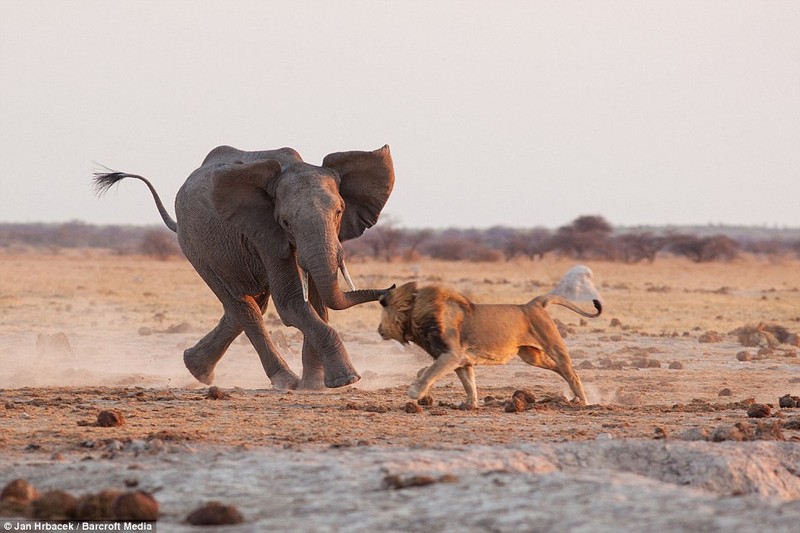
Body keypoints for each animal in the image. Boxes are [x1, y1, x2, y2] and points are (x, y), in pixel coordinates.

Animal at [95, 143, 396, 388]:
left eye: (339, 212)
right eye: (285, 222)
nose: (390, 288)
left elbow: (317, 303)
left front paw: (316, 386)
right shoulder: (264, 233)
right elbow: (291, 304)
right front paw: (346, 380)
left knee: (248, 305)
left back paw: (197, 369)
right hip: (196, 248)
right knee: (244, 307)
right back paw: (284, 381)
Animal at [380, 282, 600, 408]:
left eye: (384, 315)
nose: (379, 330)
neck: (417, 317)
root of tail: (533, 303)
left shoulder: (451, 354)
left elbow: (430, 372)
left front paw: (415, 391)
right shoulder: (461, 360)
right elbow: (468, 383)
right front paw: (470, 404)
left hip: (554, 347)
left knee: (572, 374)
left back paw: (584, 402)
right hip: (531, 356)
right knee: (561, 370)